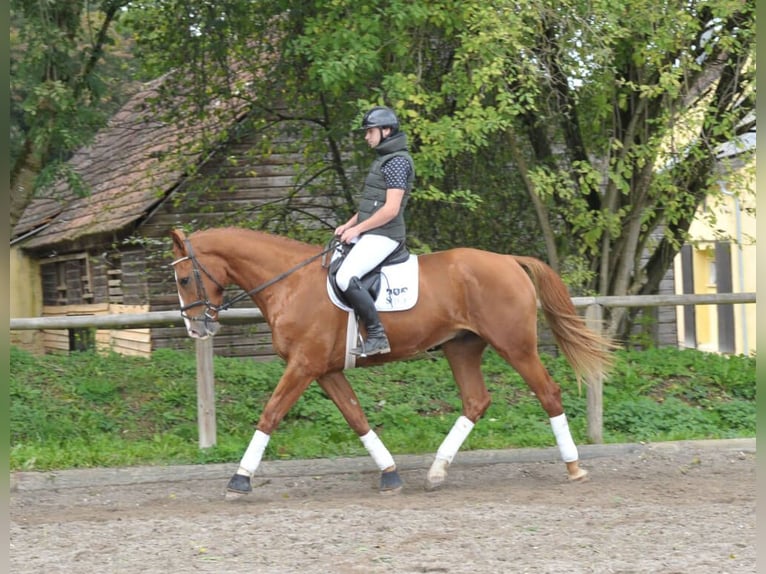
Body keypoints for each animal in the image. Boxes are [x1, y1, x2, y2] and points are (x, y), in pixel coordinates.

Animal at [171, 227, 616, 498]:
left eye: (184, 279)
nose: (196, 328)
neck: (289, 283)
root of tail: (508, 259)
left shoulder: (303, 365)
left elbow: (270, 414)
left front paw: (239, 479)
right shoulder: (324, 370)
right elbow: (356, 417)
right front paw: (390, 474)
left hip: (515, 346)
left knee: (548, 392)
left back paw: (574, 467)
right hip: (461, 347)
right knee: (476, 401)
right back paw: (437, 471)